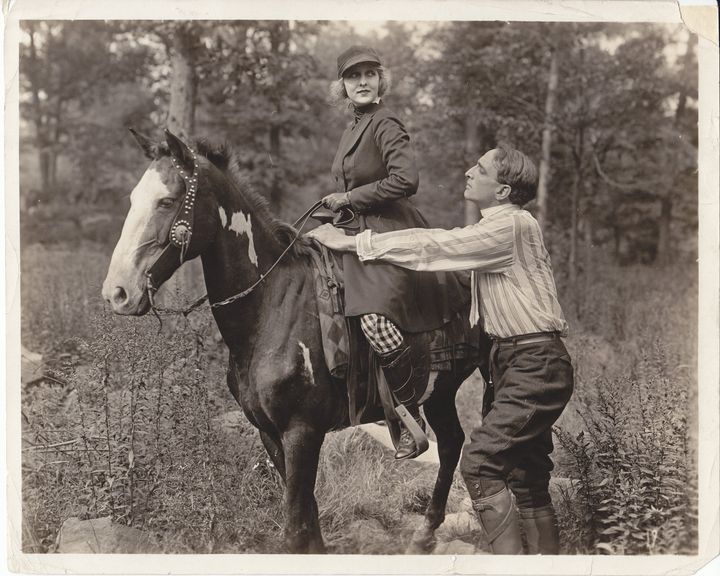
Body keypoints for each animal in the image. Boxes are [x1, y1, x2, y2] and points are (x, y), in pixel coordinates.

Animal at [102, 129, 490, 552]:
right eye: (133, 200)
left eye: (168, 201)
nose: (117, 292)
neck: (272, 305)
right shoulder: (270, 433)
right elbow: (307, 519)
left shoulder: (302, 431)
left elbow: (294, 526)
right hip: (439, 392)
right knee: (452, 443)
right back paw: (425, 533)